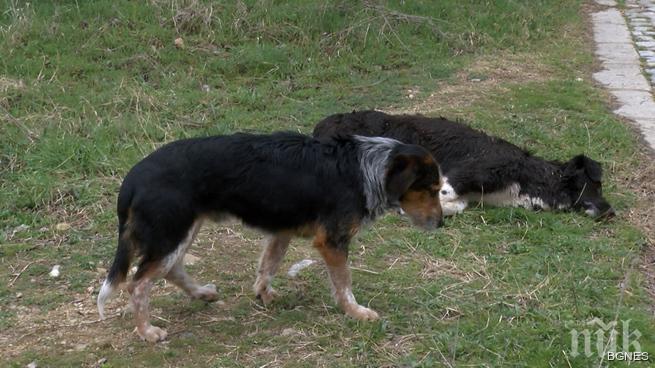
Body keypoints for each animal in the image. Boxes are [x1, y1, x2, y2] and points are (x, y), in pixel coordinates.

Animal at [98, 132, 446, 342]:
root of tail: (132, 179)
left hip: (183, 230)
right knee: (138, 284)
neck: (363, 169)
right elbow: (344, 284)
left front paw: (264, 295)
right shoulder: (332, 241)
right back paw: (147, 331)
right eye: (430, 189)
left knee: (169, 270)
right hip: (171, 233)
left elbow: (268, 266)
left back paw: (201, 293)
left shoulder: (281, 231)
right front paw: (357, 312)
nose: (442, 223)